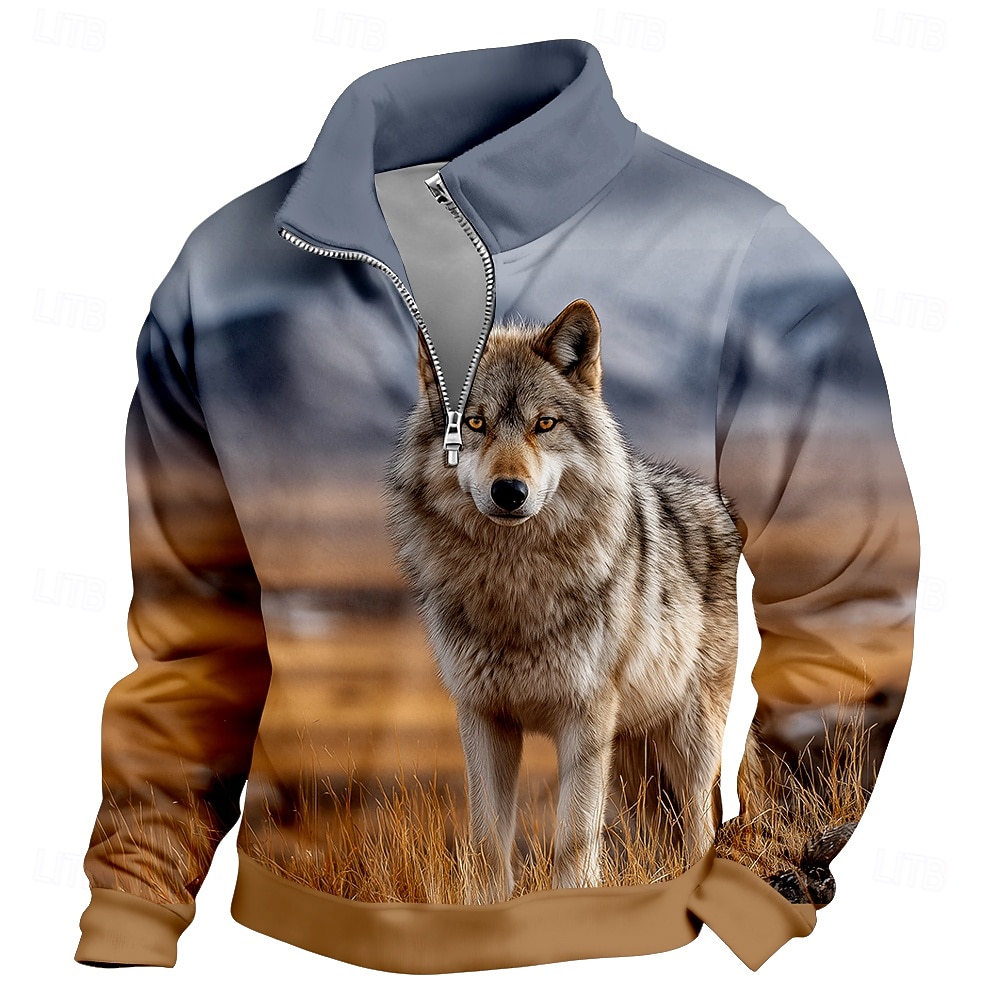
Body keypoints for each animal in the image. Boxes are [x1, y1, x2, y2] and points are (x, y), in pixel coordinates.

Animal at [385, 298, 743, 902]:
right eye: (475, 423)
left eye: (544, 424)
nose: (509, 491)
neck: (515, 588)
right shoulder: (482, 717)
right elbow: (488, 843)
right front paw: (486, 910)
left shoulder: (585, 719)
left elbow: (573, 843)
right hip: (633, 768)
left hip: (686, 742)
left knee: (701, 827)